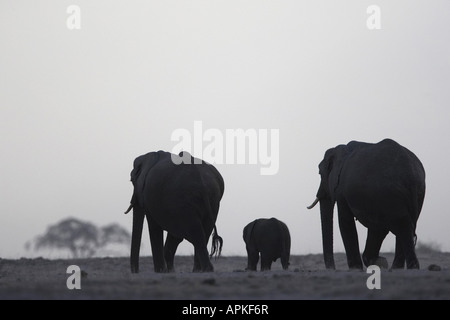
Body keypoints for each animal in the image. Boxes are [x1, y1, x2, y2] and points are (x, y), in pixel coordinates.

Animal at [306, 139, 426, 270]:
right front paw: (379, 262)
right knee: (405, 226)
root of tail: (410, 175)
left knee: (402, 226)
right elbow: (376, 227)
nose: (332, 268)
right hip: (416, 193)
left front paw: (357, 267)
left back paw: (403, 268)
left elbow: (345, 221)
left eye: (319, 173)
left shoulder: (342, 190)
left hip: (390, 193)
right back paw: (397, 268)